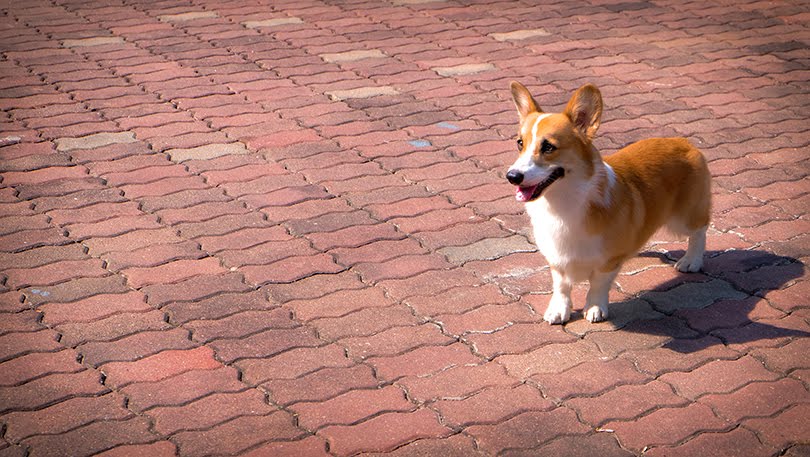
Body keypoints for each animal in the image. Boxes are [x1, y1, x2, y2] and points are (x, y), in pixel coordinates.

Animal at [508, 83, 712, 324]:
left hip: (683, 218)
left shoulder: (608, 261)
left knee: (700, 230)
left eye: (548, 147)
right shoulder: (556, 257)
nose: (512, 176)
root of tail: (684, 142)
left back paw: (692, 261)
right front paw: (559, 310)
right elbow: (561, 286)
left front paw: (595, 308)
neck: (562, 203)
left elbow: (598, 284)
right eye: (520, 143)